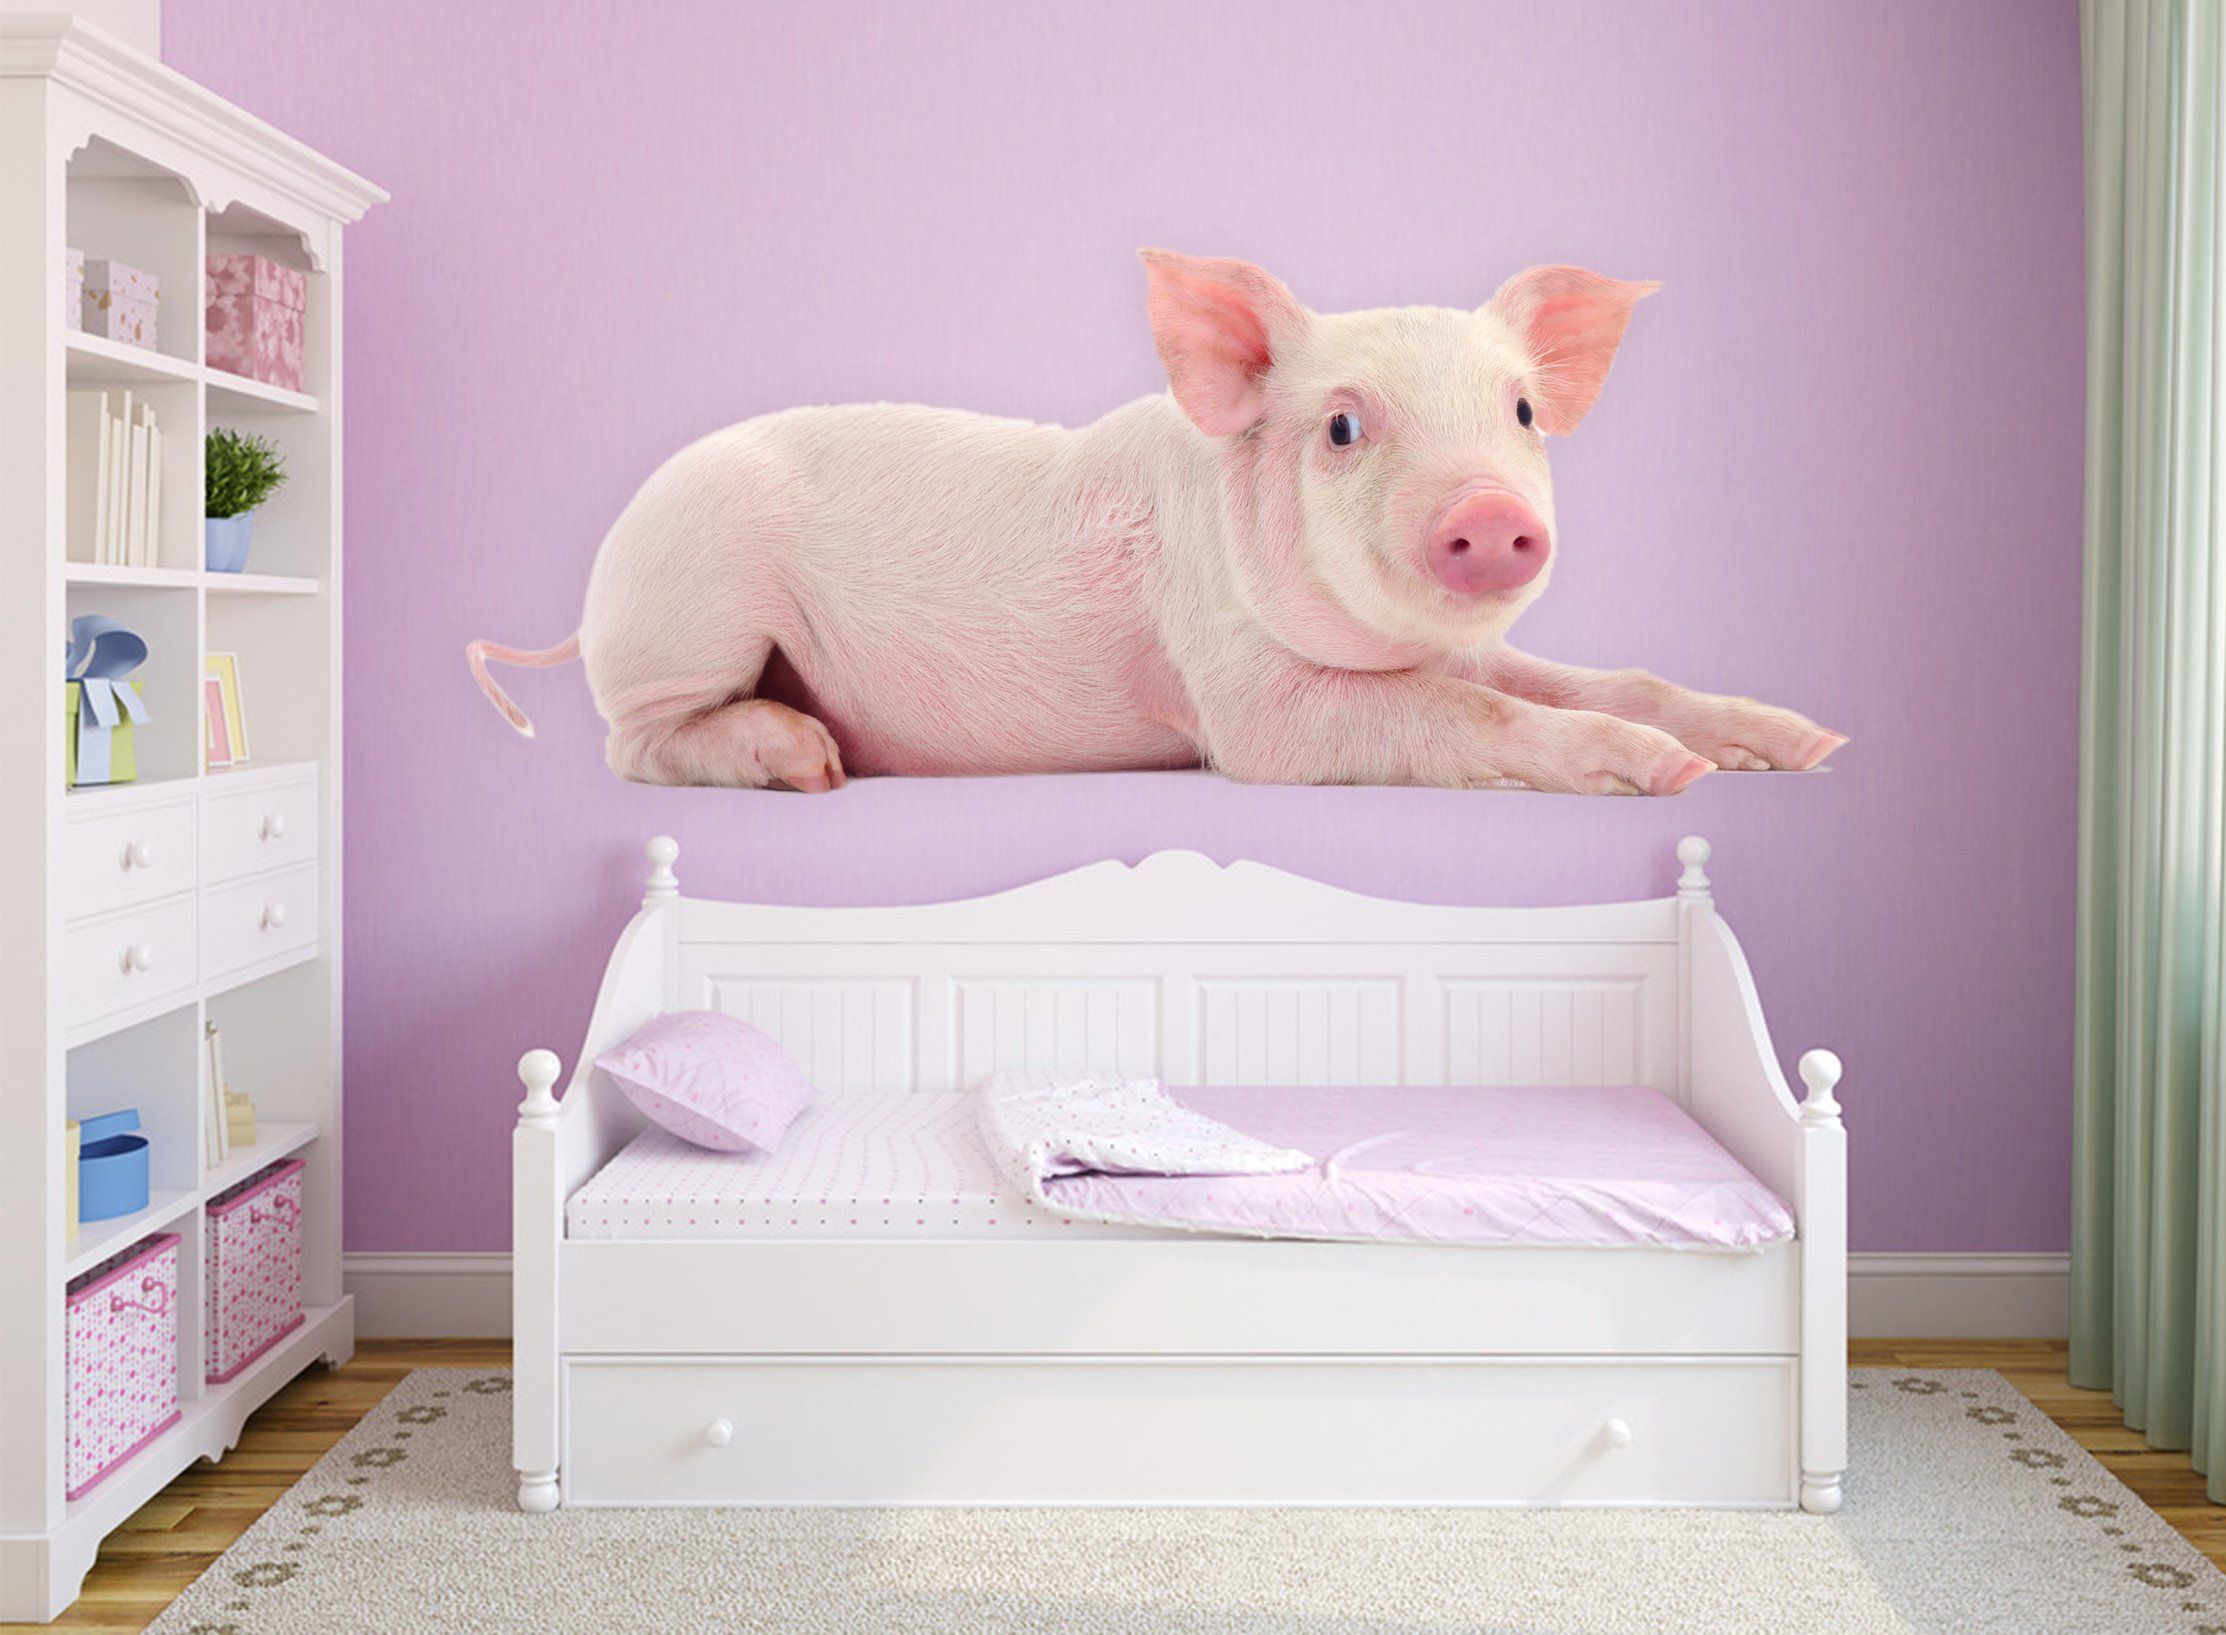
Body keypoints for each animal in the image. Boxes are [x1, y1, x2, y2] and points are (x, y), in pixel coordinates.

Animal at [468, 251, 1842, 794]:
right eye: (1343, 429)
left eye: (1521, 414)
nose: (1493, 516)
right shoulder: (1243, 704)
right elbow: (1466, 716)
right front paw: (1668, 774)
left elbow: (1589, 678)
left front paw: (1797, 745)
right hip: (692, 603)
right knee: (633, 744)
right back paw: (809, 764)